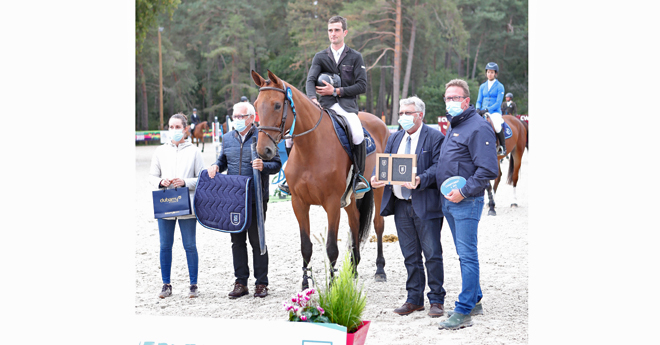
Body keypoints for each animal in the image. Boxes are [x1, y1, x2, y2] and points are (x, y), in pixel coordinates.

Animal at [251, 69, 386, 288]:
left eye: (277, 105)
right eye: (255, 105)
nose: (264, 151)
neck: (310, 148)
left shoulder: (332, 203)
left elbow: (331, 247)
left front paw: (331, 286)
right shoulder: (299, 203)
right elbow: (305, 245)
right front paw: (306, 284)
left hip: (379, 187)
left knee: (378, 224)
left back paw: (380, 270)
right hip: (349, 198)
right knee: (355, 222)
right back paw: (354, 268)